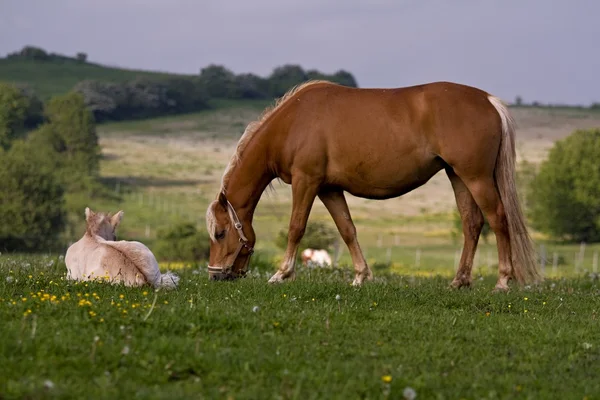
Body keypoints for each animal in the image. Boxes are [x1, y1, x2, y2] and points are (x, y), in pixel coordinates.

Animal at [204, 79, 540, 290]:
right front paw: (361, 276)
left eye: (220, 233)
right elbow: (347, 230)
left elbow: (296, 227)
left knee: (498, 220)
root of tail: (488, 101)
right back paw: (460, 281)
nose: (215, 275)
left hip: (476, 178)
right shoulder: (329, 189)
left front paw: (281, 274)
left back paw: (502, 281)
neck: (293, 123)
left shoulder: (306, 181)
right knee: (472, 224)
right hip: (458, 177)